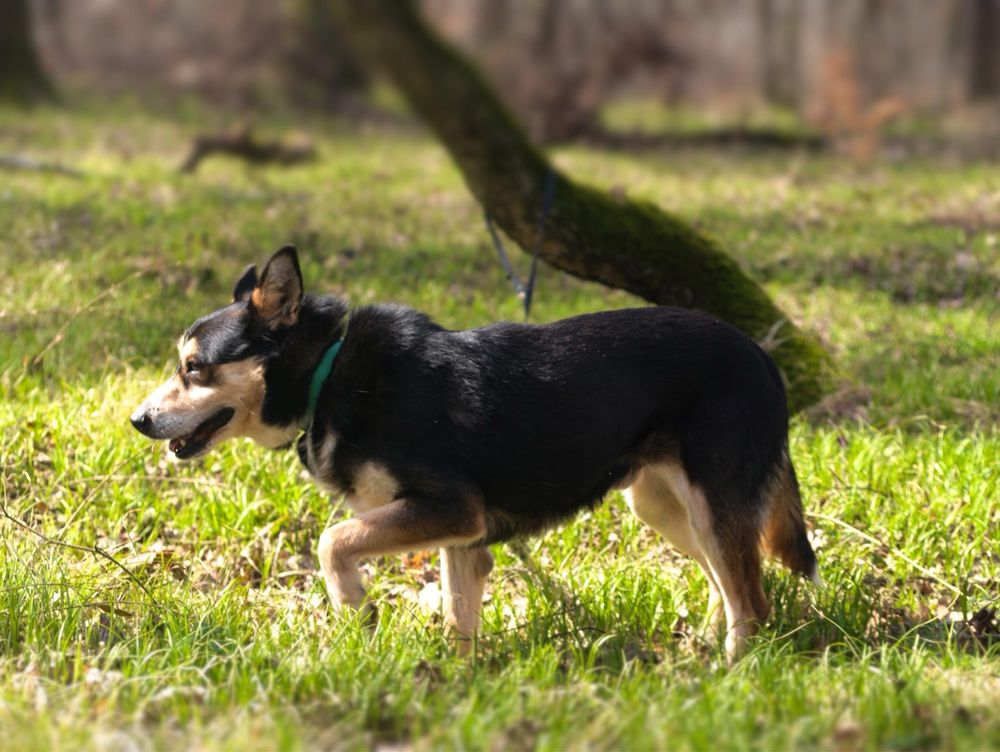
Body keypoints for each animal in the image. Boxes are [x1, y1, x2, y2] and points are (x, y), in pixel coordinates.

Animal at [131, 247, 820, 656]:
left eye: (194, 368)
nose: (138, 421)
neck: (329, 372)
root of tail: (763, 357)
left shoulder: (449, 508)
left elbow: (332, 542)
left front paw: (355, 607)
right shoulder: (458, 535)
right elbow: (458, 617)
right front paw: (452, 683)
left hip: (709, 503)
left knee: (752, 601)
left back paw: (729, 672)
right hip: (664, 505)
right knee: (727, 582)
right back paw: (702, 647)